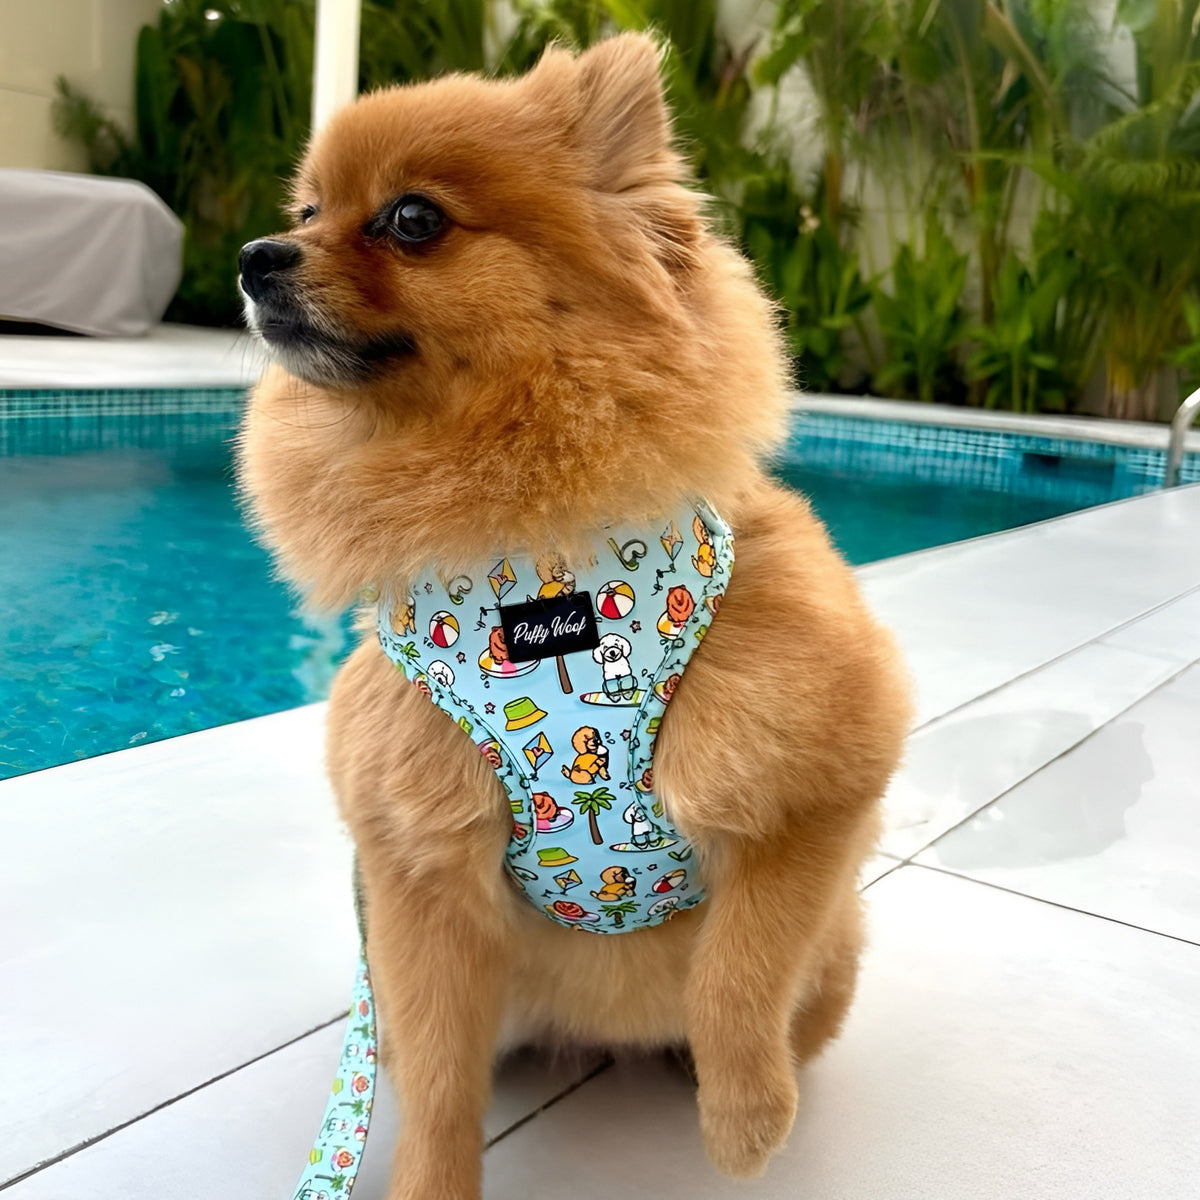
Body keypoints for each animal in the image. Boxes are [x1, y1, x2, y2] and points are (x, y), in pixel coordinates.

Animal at [237, 34, 910, 1200]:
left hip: (835, 957)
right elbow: (440, 1087)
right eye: (311, 211)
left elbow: (741, 972)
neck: (531, 569)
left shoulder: (817, 787)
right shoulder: (415, 874)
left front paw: (745, 1118)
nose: (254, 255)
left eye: (410, 219)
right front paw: (430, 1182)